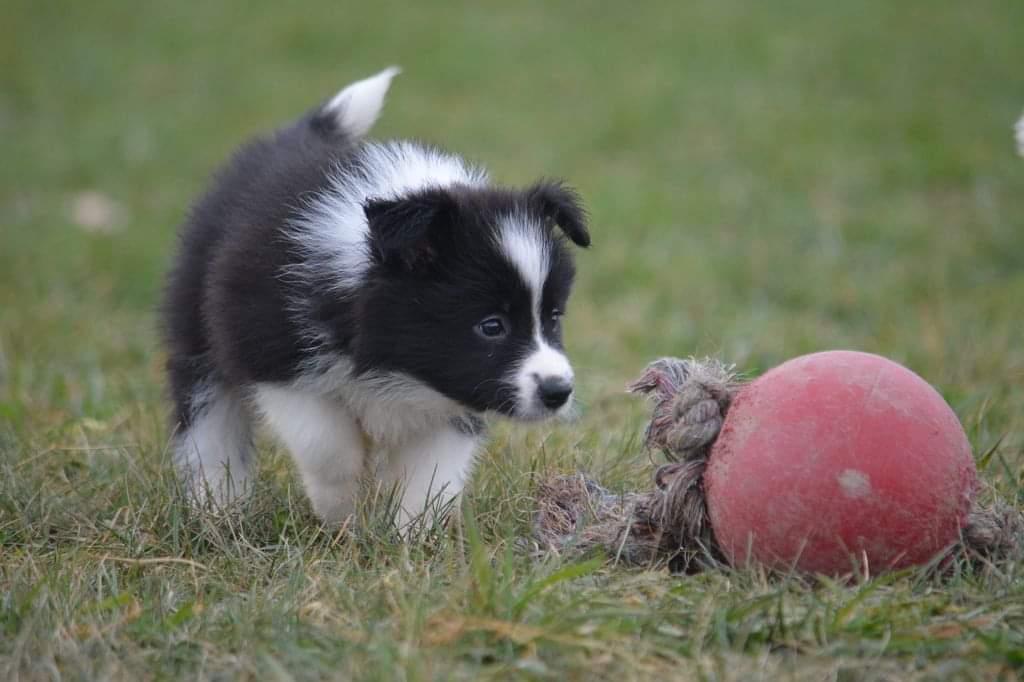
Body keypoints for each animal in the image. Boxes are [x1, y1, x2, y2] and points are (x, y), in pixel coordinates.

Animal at [163, 67, 589, 524]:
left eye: (554, 317)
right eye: (492, 326)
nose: (558, 391)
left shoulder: (452, 398)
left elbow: (432, 473)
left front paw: (415, 534)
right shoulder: (270, 352)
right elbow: (326, 443)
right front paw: (340, 508)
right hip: (197, 329)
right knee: (210, 421)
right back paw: (218, 507)